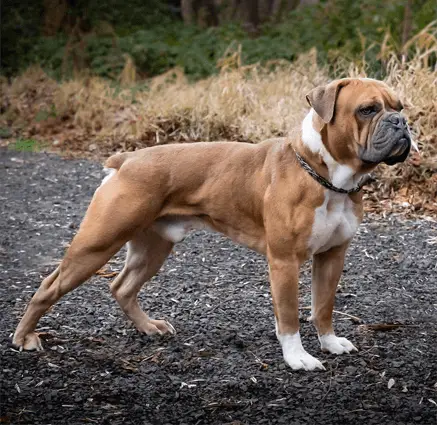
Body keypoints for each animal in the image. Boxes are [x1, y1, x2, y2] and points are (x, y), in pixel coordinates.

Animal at [11, 78, 410, 370]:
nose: (402, 123)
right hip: (97, 244)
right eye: (368, 109)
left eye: (400, 107)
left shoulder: (332, 256)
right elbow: (290, 316)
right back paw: (25, 338)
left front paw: (329, 342)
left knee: (122, 287)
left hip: (152, 248)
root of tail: (126, 160)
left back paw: (149, 327)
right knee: (49, 287)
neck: (327, 177)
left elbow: (323, 306)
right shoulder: (284, 262)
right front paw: (298, 358)